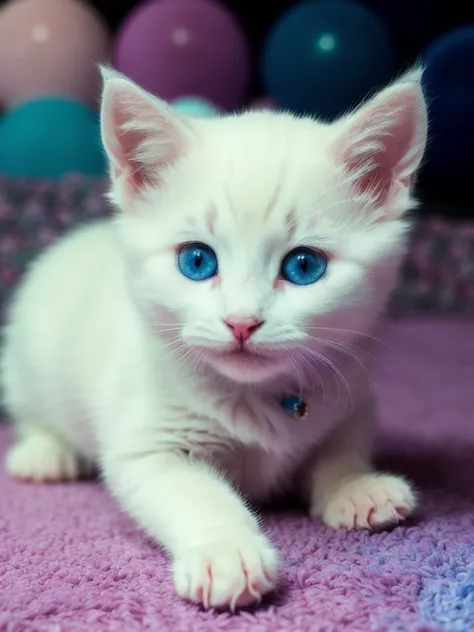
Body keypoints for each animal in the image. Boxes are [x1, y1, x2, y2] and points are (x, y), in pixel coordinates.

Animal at [0, 66, 428, 608]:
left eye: (304, 266)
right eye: (197, 261)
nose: (242, 322)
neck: (255, 396)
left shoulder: (354, 393)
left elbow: (339, 448)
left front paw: (357, 485)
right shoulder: (148, 445)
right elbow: (196, 495)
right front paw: (227, 551)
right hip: (27, 351)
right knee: (33, 410)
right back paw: (44, 453)